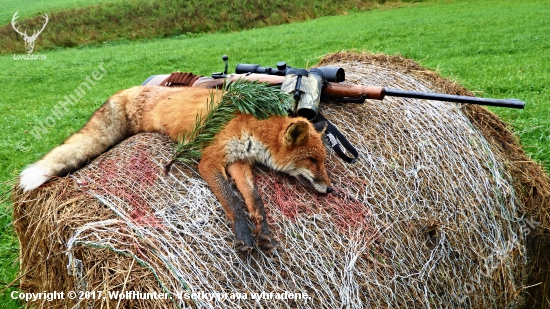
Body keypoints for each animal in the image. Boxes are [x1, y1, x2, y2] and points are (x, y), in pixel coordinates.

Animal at [19, 85, 334, 251]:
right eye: (313, 161)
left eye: (323, 161)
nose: (331, 190)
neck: (250, 125)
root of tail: (128, 89)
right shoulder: (210, 161)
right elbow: (232, 201)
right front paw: (244, 236)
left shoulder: (238, 161)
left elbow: (254, 199)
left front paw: (263, 230)